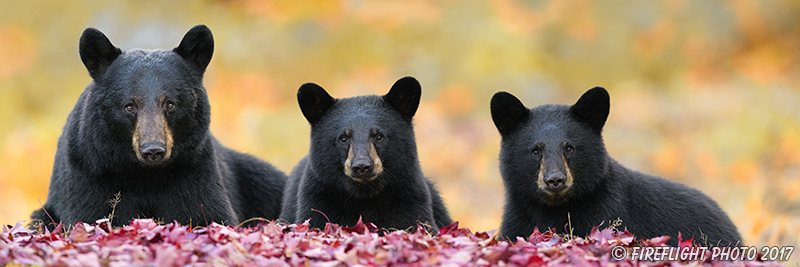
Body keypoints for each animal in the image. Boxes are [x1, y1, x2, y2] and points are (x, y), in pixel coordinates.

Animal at [31, 25, 288, 230]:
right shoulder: (92, 169)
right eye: (129, 106)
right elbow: (92, 212)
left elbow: (207, 211)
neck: (145, 174)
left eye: (171, 104)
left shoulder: (194, 167)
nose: (153, 150)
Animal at [280, 77, 456, 232]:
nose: (362, 166)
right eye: (343, 138)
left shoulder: (409, 198)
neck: (365, 194)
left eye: (379, 136)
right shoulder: (319, 198)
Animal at [490, 88, 740, 247]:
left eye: (569, 147)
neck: (554, 208)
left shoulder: (606, 213)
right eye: (535, 150)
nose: (555, 180)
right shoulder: (518, 218)